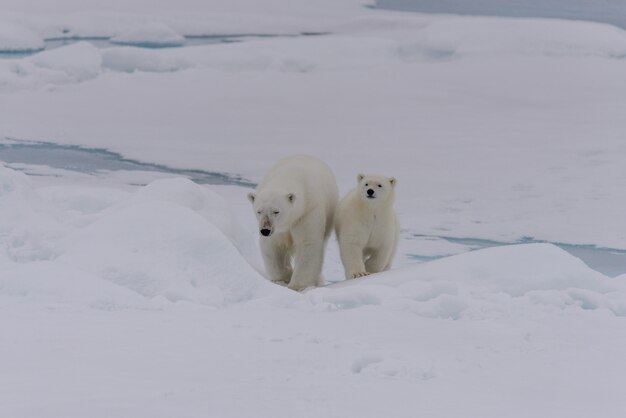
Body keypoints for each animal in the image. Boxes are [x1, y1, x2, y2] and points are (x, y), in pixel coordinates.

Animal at [246, 154, 338, 290]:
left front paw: (297, 285)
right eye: (259, 211)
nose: (265, 230)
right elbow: (273, 246)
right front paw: (284, 277)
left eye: (276, 211)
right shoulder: (278, 230)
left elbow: (307, 243)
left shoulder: (307, 212)